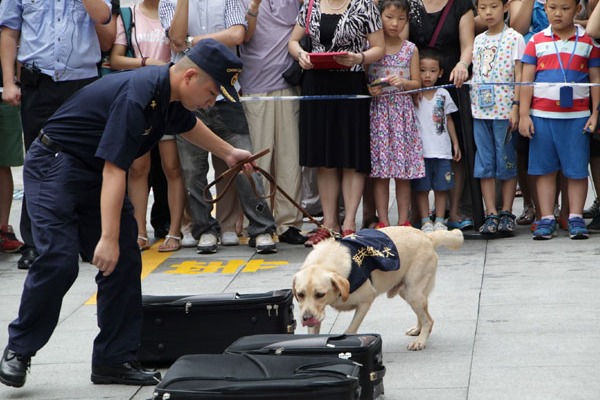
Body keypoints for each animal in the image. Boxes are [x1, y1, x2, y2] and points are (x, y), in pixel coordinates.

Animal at [290, 227, 464, 352]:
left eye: (320, 294)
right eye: (300, 295)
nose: (306, 318)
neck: (325, 263)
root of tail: (427, 237)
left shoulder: (365, 302)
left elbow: (350, 329)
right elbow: (313, 334)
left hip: (412, 292)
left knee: (429, 319)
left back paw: (420, 341)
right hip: (408, 291)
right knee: (424, 314)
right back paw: (418, 330)